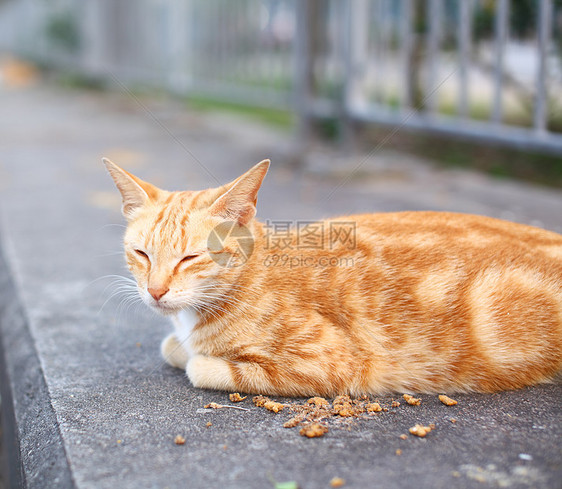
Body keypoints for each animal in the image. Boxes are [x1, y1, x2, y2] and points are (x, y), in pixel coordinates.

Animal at [103, 158, 560, 394]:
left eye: (190, 257)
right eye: (141, 253)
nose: (155, 291)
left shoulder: (332, 364)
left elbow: (199, 364)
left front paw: (197, 355)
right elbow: (172, 346)